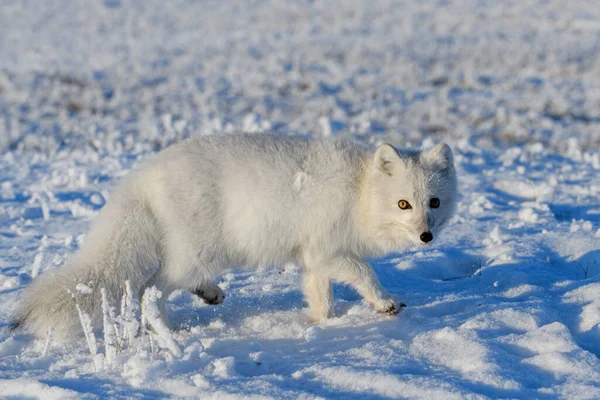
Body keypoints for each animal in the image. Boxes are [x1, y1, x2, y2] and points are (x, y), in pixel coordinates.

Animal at [14, 134, 458, 338]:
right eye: (403, 204)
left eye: (433, 202)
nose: (426, 237)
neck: (358, 192)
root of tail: (141, 175)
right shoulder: (330, 251)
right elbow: (365, 272)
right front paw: (385, 304)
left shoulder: (314, 258)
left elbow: (321, 296)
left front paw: (319, 326)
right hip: (198, 253)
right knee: (147, 289)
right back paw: (166, 330)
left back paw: (207, 294)